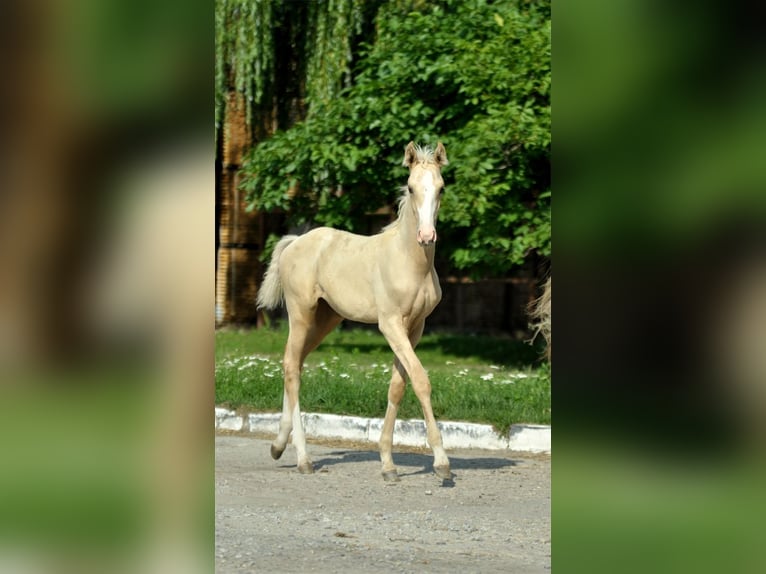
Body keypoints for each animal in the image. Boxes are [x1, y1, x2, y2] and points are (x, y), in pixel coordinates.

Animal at [258, 142, 450, 484]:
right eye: (411, 187)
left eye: (441, 187)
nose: (427, 236)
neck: (410, 262)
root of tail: (295, 242)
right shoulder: (390, 324)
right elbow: (420, 380)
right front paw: (441, 463)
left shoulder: (415, 327)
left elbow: (397, 386)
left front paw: (388, 464)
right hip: (301, 313)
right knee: (292, 368)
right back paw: (303, 459)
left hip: (326, 319)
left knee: (295, 363)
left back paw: (279, 445)